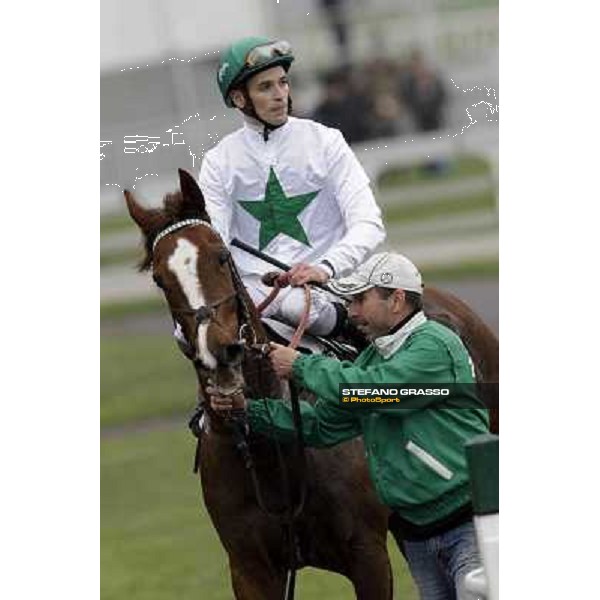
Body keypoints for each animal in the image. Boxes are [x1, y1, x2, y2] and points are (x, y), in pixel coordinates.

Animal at [124, 169, 500, 600]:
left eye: (220, 256)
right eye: (159, 278)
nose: (217, 352)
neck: (268, 454)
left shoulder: (367, 555)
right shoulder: (250, 570)